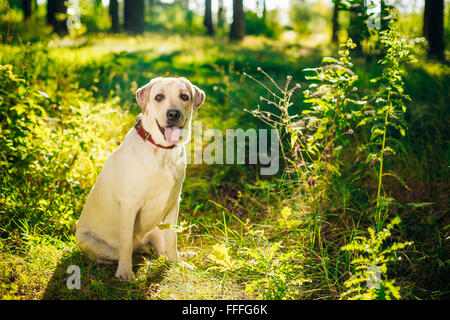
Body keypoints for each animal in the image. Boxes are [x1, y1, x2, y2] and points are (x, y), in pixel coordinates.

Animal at [76, 77, 206, 280]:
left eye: (184, 97)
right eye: (159, 97)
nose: (173, 114)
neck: (161, 150)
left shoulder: (173, 204)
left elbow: (172, 239)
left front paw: (177, 263)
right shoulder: (129, 205)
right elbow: (126, 244)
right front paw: (124, 272)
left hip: (156, 228)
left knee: (161, 249)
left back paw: (182, 256)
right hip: (84, 236)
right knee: (114, 253)